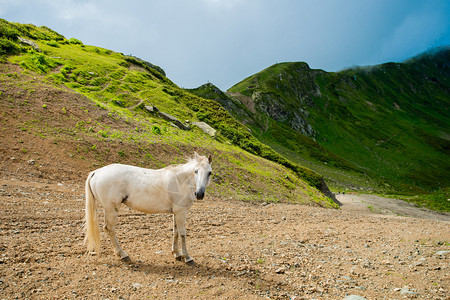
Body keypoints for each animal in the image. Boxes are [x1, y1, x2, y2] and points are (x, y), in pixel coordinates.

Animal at [84, 154, 213, 264]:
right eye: (195, 171)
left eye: (209, 173)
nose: (199, 194)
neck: (180, 180)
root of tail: (96, 172)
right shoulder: (181, 212)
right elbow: (182, 234)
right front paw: (187, 257)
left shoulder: (176, 213)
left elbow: (175, 232)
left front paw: (177, 253)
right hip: (111, 209)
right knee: (110, 229)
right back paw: (123, 255)